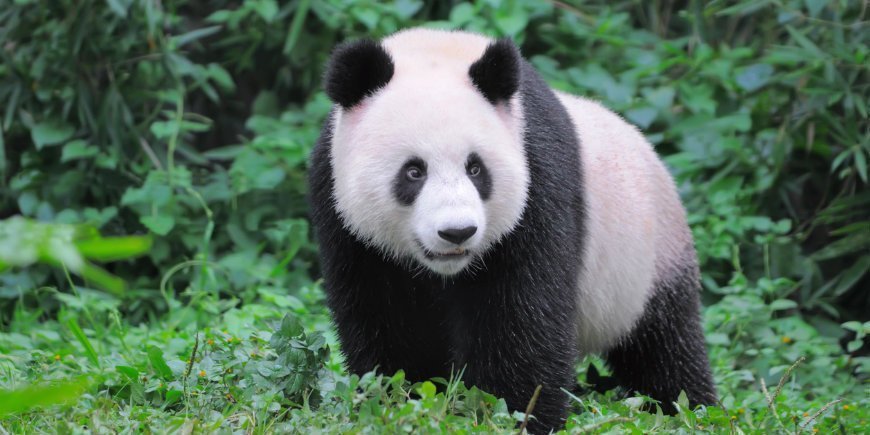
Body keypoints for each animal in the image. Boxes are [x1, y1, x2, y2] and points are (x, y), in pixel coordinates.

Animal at [308, 28, 717, 432]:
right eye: (413, 171)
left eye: (475, 169)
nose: (457, 232)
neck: (433, 51)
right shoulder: (343, 214)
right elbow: (388, 320)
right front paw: (400, 401)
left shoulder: (538, 179)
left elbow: (523, 318)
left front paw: (514, 415)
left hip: (648, 258)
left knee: (664, 345)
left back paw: (688, 408)